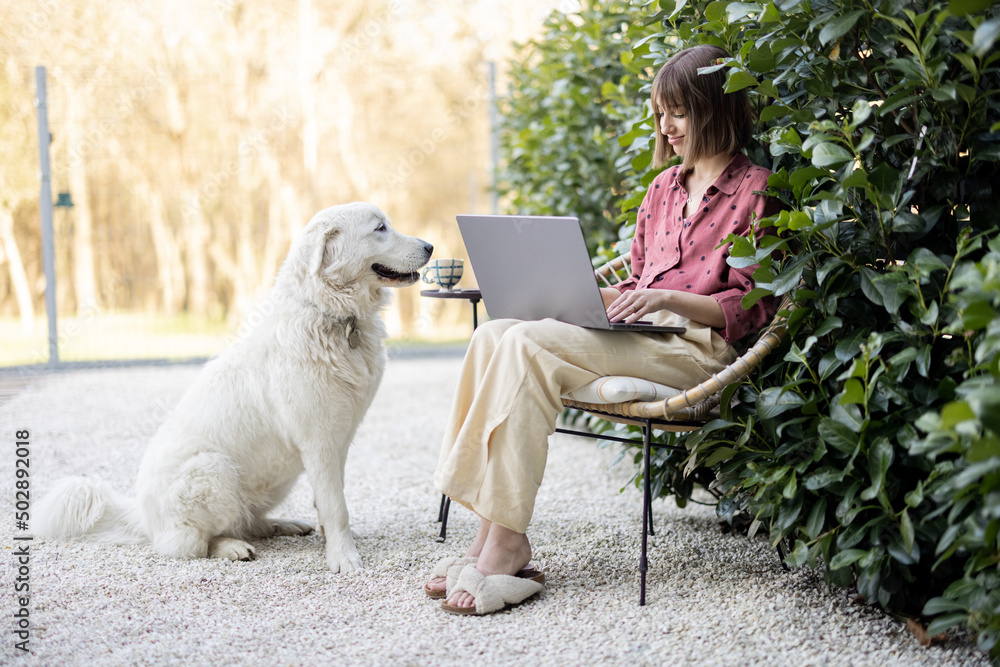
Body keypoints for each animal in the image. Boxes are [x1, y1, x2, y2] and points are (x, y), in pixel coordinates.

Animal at [38, 204, 434, 576]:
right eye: (379, 228)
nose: (430, 246)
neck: (332, 317)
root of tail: (142, 515)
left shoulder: (340, 441)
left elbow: (330, 499)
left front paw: (331, 540)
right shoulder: (319, 442)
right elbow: (336, 506)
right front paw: (344, 558)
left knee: (247, 521)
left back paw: (280, 525)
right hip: (214, 469)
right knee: (189, 544)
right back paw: (231, 547)